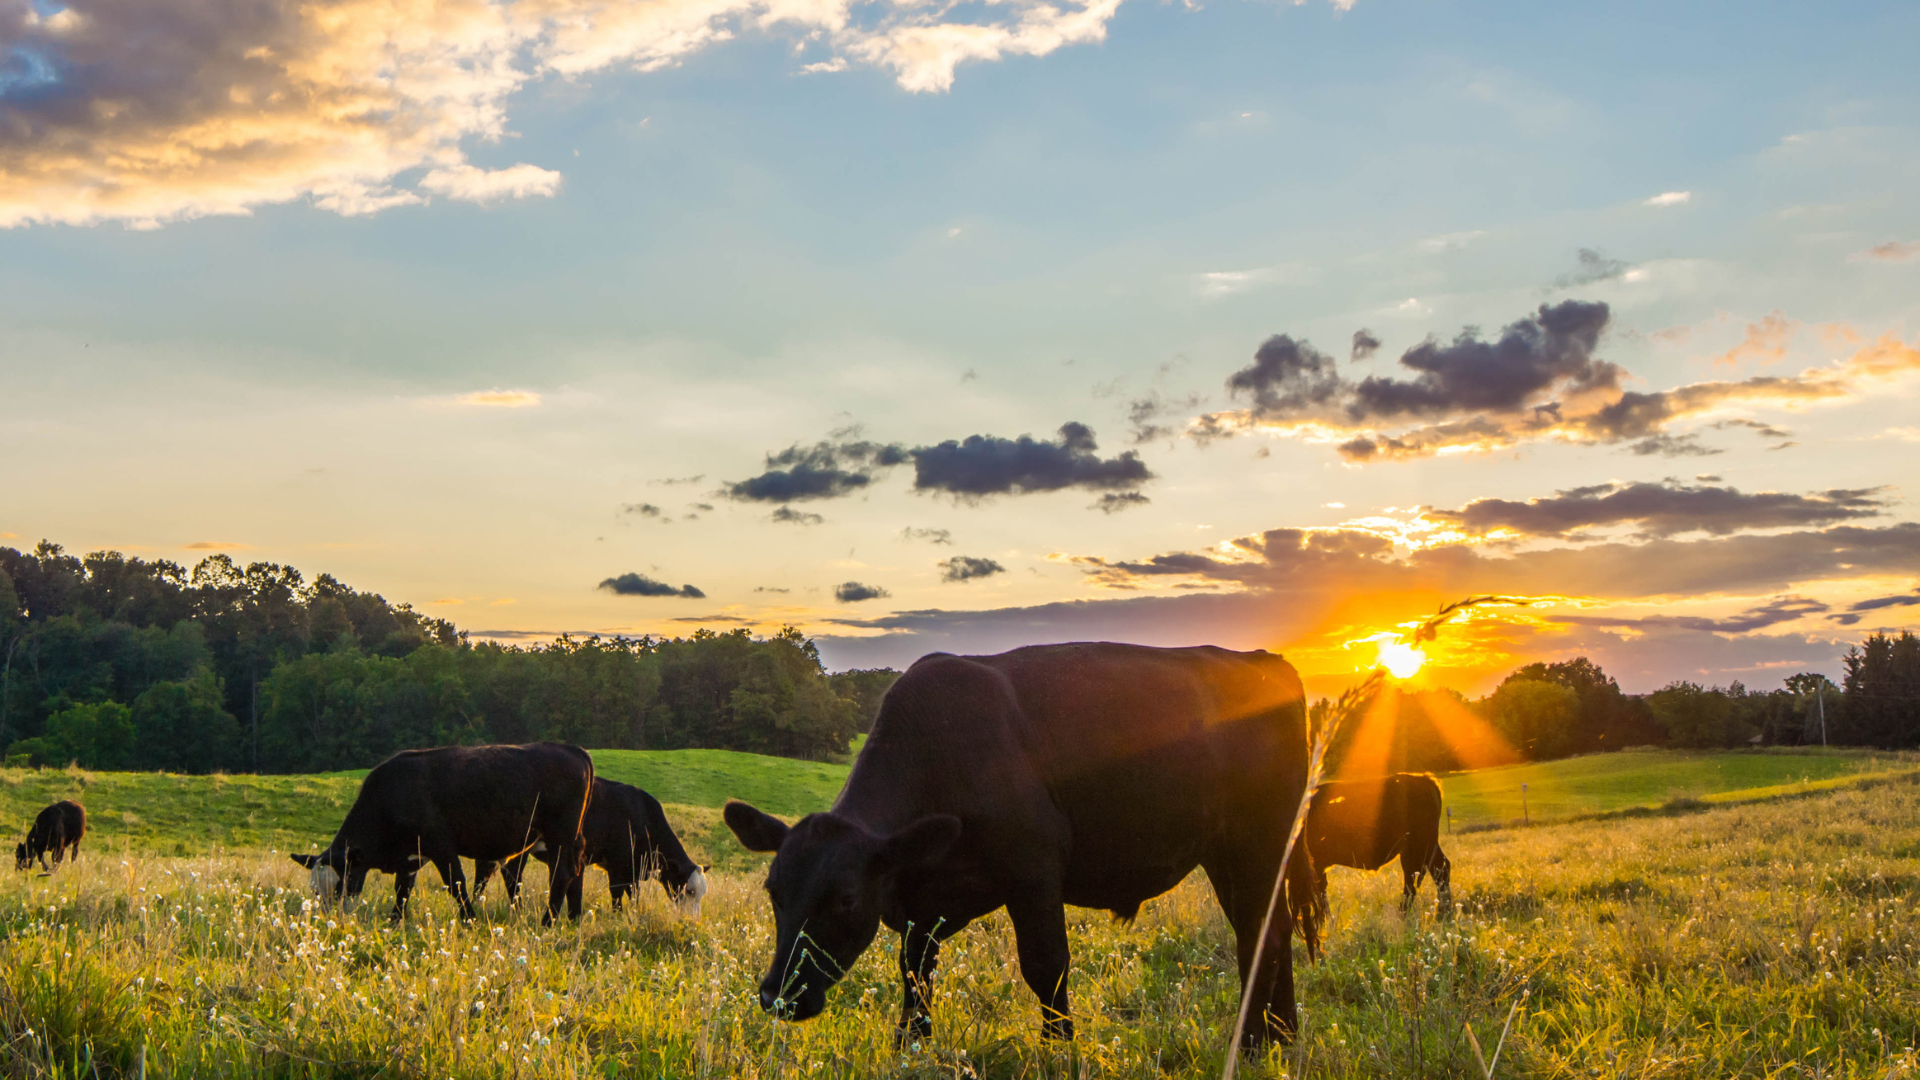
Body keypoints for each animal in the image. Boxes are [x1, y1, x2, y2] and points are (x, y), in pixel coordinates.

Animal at [288, 737, 591, 926]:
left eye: (341, 885)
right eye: (315, 892)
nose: (330, 921)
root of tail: (572, 749)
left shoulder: (440, 845)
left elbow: (455, 884)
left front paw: (470, 919)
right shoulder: (410, 856)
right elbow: (402, 890)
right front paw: (394, 922)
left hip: (560, 834)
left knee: (562, 873)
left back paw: (548, 922)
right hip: (568, 839)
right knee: (574, 871)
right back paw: (572, 919)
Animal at [472, 772, 714, 914]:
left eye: (702, 893)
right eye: (689, 890)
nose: (693, 921)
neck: (641, 814)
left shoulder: (632, 870)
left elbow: (634, 895)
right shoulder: (617, 865)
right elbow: (617, 895)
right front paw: (618, 916)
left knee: (493, 872)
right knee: (505, 874)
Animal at [721, 638, 1320, 1045]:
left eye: (846, 899)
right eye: (773, 891)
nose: (777, 995)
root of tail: (1265, 661)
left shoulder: (1034, 872)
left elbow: (1045, 966)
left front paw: (1061, 1049)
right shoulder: (920, 907)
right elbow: (915, 977)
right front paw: (910, 1047)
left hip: (1260, 842)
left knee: (1263, 934)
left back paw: (1256, 1041)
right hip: (1227, 853)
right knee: (1266, 930)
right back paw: (1281, 1036)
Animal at [1305, 768, 1451, 910]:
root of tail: (1424, 778)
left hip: (1417, 847)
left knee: (1414, 879)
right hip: (1427, 846)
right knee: (1440, 869)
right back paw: (1444, 911)